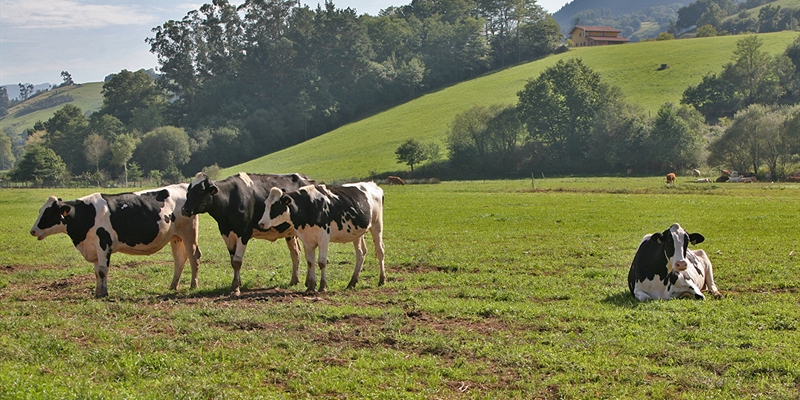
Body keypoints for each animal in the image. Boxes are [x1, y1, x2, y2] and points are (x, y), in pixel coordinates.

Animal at [30, 184, 200, 296]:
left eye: (48, 213)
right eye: (40, 210)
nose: (33, 230)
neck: (86, 214)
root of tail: (183, 186)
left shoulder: (104, 244)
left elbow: (103, 271)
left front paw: (104, 293)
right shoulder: (93, 248)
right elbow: (97, 272)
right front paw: (97, 292)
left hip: (189, 234)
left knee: (194, 257)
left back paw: (193, 284)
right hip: (175, 237)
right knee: (179, 260)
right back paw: (173, 286)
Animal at [183, 170, 314, 296]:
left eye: (200, 190)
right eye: (188, 191)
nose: (184, 210)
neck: (229, 199)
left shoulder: (243, 233)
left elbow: (237, 261)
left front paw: (236, 288)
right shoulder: (227, 234)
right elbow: (233, 261)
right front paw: (237, 283)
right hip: (291, 233)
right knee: (296, 253)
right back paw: (295, 280)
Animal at [258, 183, 386, 292]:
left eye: (275, 206)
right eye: (266, 204)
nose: (261, 223)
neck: (308, 206)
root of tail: (373, 184)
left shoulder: (323, 238)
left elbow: (322, 262)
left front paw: (322, 286)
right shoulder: (306, 239)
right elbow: (310, 262)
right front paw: (311, 287)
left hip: (377, 225)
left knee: (380, 251)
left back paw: (382, 279)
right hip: (357, 232)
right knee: (361, 253)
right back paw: (352, 282)